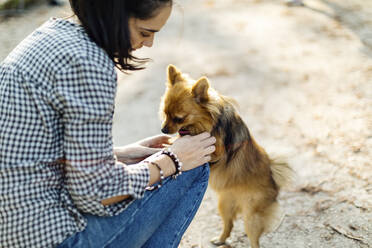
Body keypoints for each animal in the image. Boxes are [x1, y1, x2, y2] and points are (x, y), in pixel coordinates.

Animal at [160, 64, 294, 248]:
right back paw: (220, 239)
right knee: (228, 224)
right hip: (224, 205)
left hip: (251, 217)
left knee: (253, 239)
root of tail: (274, 179)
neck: (202, 124)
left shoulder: (216, 151)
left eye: (179, 118)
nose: (163, 130)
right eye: (165, 113)